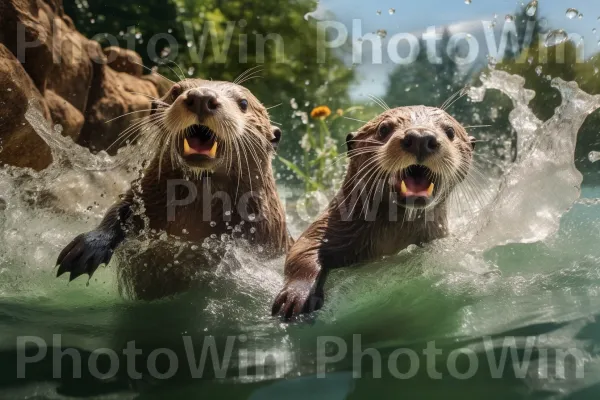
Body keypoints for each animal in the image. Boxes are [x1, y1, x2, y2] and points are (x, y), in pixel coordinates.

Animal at [56, 78, 292, 298]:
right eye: (175, 91)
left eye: (243, 103)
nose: (202, 97)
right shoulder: (143, 195)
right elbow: (118, 210)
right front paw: (89, 246)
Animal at [270, 105, 474, 318]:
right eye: (383, 129)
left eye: (450, 131)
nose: (420, 137)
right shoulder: (329, 225)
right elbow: (301, 250)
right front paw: (297, 295)